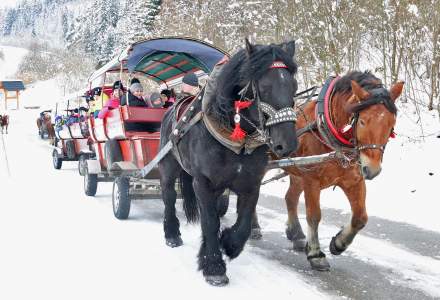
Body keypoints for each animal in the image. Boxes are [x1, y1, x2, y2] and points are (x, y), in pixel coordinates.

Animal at [158, 38, 300, 286]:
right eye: (264, 87)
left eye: (294, 86)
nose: (288, 144)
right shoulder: (202, 182)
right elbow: (210, 221)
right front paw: (214, 266)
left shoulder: (251, 183)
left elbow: (242, 223)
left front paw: (228, 244)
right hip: (169, 167)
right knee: (169, 197)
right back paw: (172, 234)